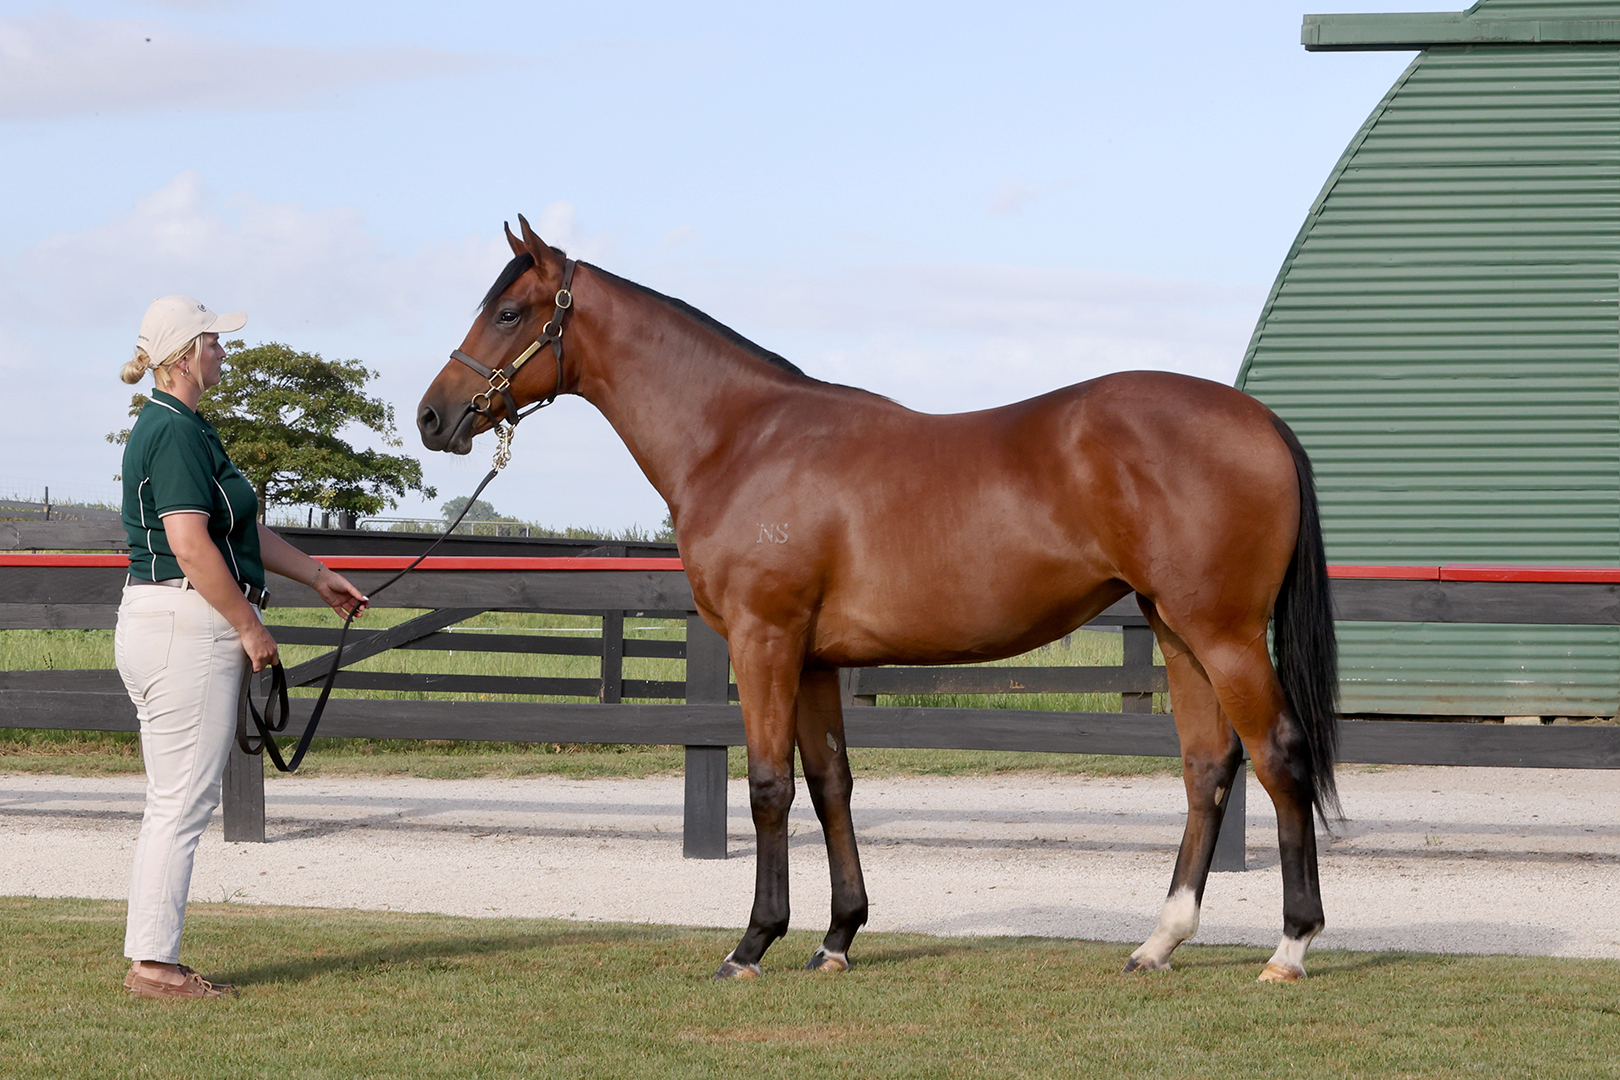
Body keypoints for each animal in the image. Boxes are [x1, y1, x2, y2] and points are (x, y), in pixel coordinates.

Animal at [417, 216, 1340, 983]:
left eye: (510, 312)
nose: (432, 416)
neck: (739, 438)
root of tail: (1260, 419)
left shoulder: (764, 639)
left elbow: (768, 787)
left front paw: (752, 944)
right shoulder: (816, 658)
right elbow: (831, 784)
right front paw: (836, 938)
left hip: (1222, 633)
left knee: (1279, 756)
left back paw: (1289, 948)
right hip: (1176, 629)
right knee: (1207, 766)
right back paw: (1159, 943)